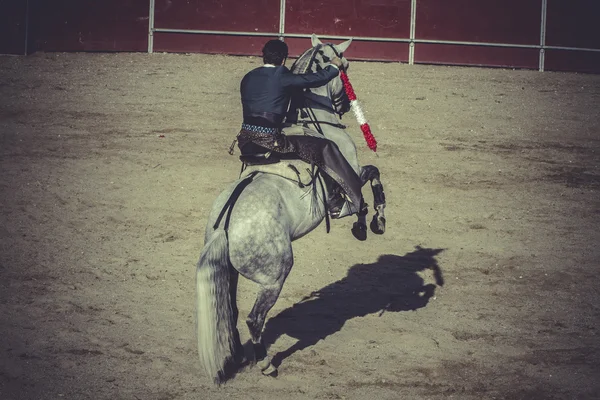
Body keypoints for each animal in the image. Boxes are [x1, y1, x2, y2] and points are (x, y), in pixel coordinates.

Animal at [195, 35, 386, 384]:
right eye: (346, 66)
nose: (342, 107)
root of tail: (225, 224)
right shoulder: (351, 171)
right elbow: (371, 178)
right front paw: (370, 223)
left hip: (231, 276)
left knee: (232, 312)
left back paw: (238, 355)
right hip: (275, 276)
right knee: (255, 318)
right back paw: (266, 364)